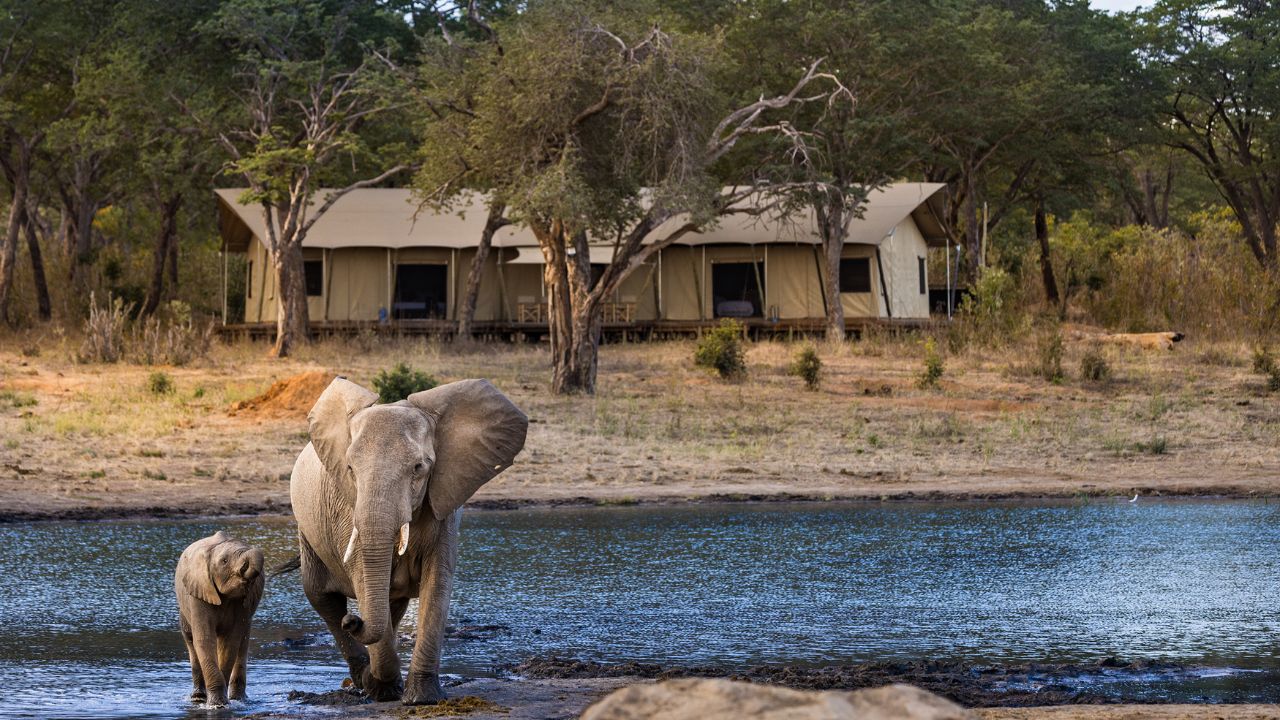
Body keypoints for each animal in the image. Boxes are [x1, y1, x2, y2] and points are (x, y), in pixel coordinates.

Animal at [175, 531, 265, 707]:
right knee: (190, 640)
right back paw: (198, 698)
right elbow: (204, 639)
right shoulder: (198, 593)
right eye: (224, 561)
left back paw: (239, 699)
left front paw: (222, 703)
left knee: (243, 642)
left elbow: (230, 642)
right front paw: (217, 704)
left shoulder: (242, 605)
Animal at [290, 377, 527, 705]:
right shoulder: (347, 508)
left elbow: (437, 580)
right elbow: (362, 577)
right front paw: (384, 690)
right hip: (307, 532)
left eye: (418, 468)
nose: (354, 620)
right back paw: (366, 678)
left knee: (391, 604)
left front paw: (422, 698)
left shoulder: (445, 502)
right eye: (350, 469)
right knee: (322, 598)